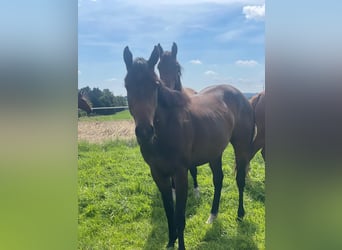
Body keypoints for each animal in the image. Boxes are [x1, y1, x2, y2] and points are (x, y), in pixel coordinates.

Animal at [158, 42, 199, 197]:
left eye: (176, 67)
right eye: (158, 66)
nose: (165, 92)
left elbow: (193, 168)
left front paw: (196, 191)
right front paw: (174, 191)